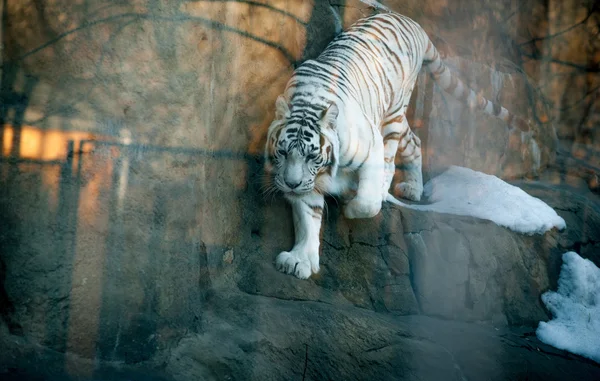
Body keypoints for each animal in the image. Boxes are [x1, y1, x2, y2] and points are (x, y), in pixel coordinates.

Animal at [264, 11, 536, 280]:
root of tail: (411, 21)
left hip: (393, 116)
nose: (290, 184)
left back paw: (389, 190)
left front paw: (352, 207)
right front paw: (299, 260)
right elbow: (307, 216)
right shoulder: (306, 180)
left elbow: (367, 202)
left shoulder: (369, 146)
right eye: (283, 152)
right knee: (415, 142)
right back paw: (413, 189)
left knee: (390, 160)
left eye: (312, 156)